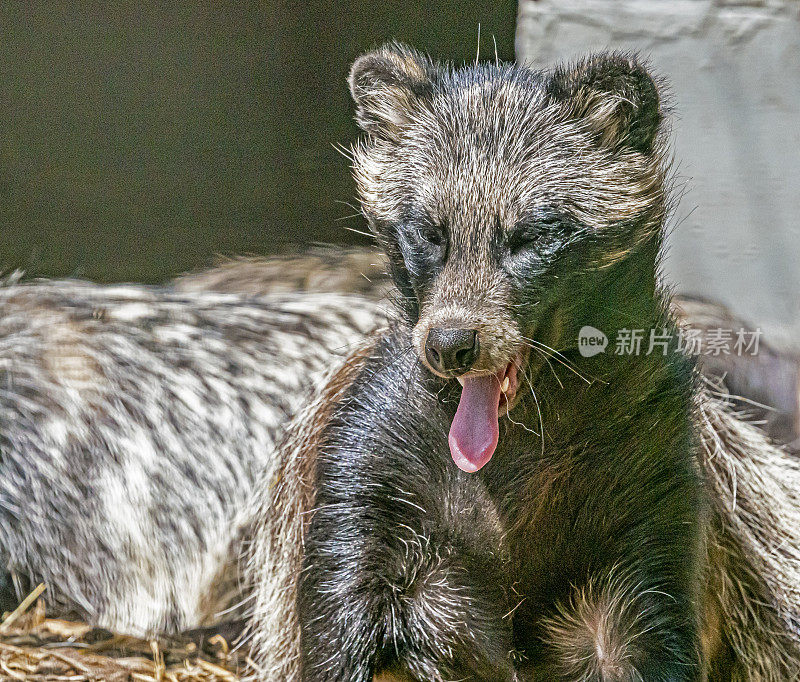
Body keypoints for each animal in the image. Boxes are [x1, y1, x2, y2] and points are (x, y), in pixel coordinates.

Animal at [250, 45, 800, 676]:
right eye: (429, 234)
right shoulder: (369, 461)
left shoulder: (654, 477)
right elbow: (338, 625)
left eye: (529, 237)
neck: (511, 444)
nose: (451, 343)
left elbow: (649, 636)